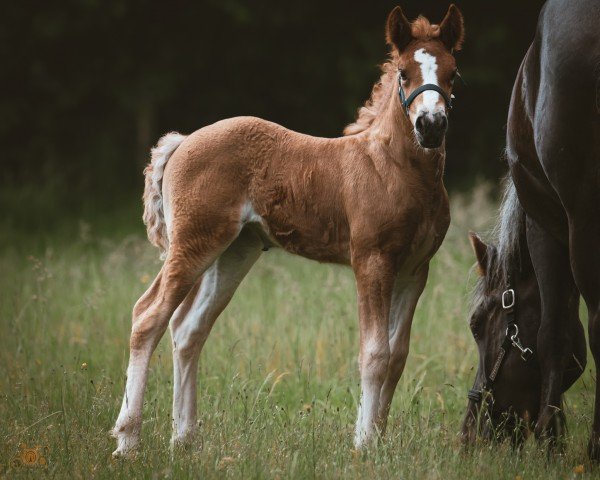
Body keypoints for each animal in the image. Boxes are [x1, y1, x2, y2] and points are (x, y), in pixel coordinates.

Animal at [112, 4, 466, 458]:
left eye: (453, 73)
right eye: (404, 73)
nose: (431, 125)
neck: (393, 169)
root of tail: (184, 141)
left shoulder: (415, 271)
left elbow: (398, 356)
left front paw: (379, 439)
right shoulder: (371, 263)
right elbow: (374, 354)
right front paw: (364, 446)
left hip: (234, 251)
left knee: (189, 329)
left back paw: (184, 438)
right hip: (193, 244)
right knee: (148, 316)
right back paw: (127, 441)